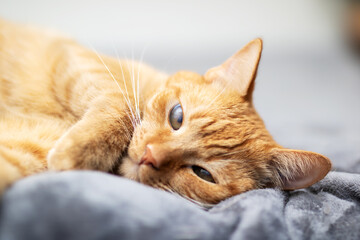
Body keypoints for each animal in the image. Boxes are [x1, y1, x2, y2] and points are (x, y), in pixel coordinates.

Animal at [0, 19, 332, 204]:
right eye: (177, 117)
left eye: (203, 174)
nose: (150, 155)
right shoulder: (79, 59)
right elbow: (122, 105)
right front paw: (79, 150)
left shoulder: (25, 149)